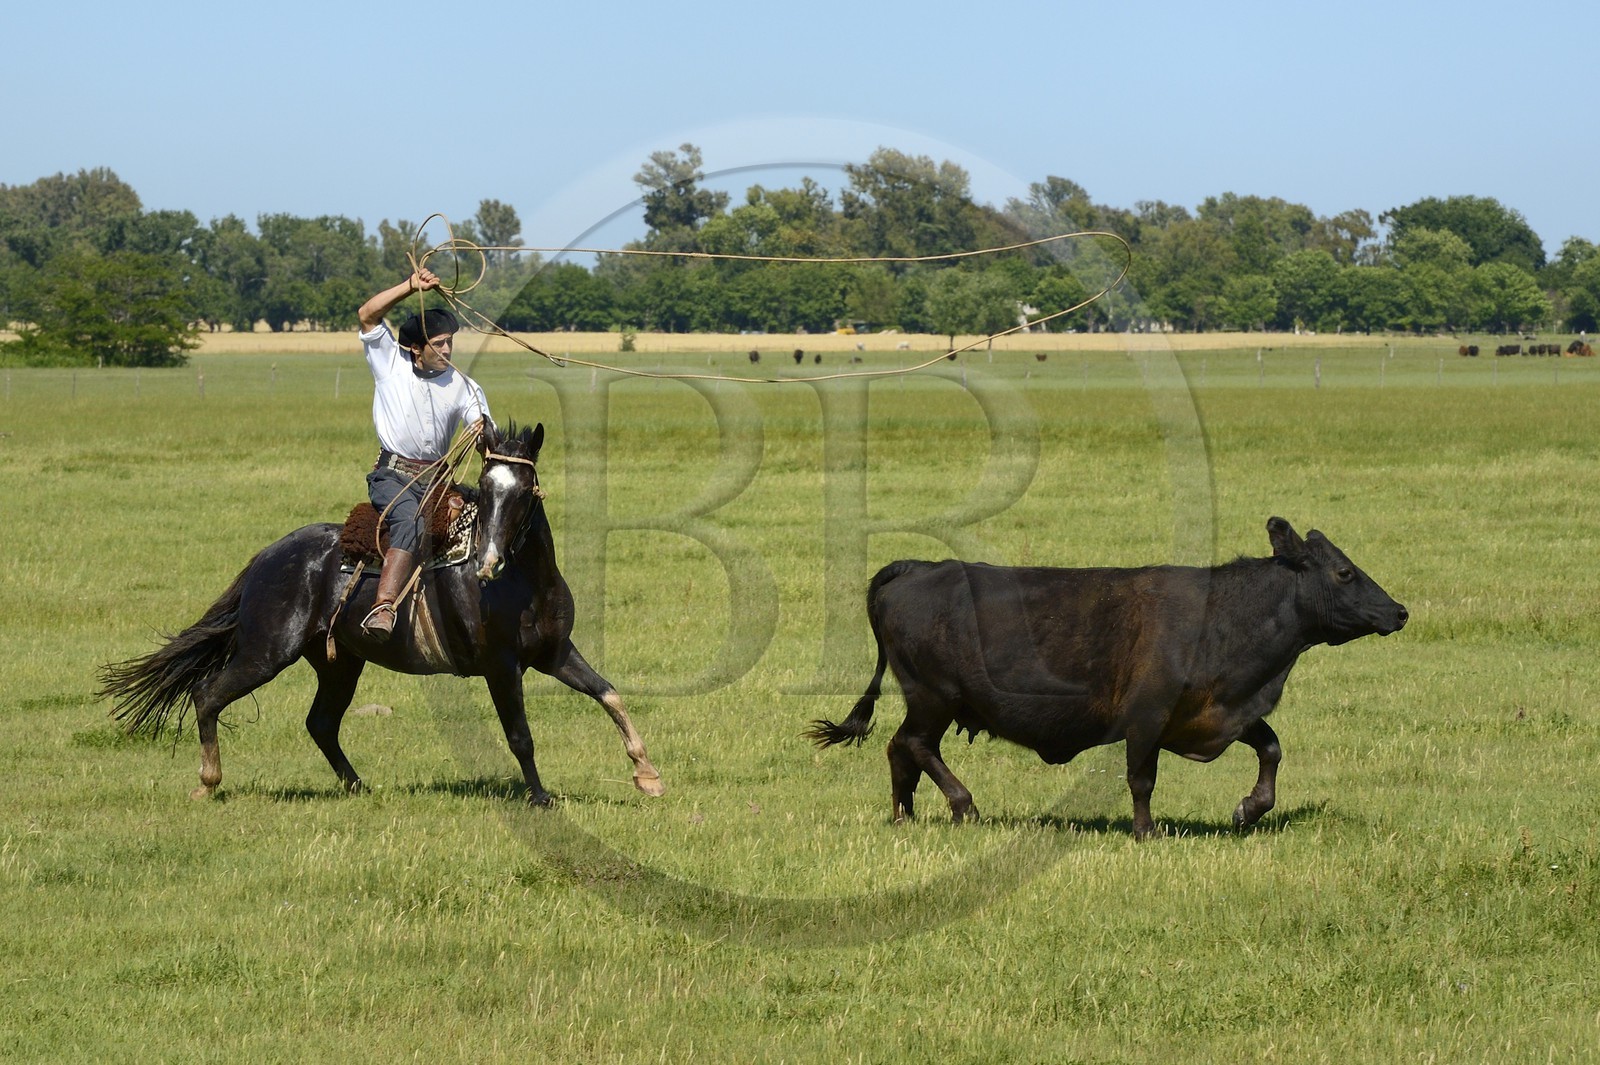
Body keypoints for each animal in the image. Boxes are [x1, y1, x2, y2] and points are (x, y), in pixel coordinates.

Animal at [806, 518, 1407, 839]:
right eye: (1344, 572)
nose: (1399, 611)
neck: (1224, 616)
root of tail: (917, 568)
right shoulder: (1147, 718)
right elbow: (1142, 779)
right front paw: (1146, 831)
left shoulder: (1221, 710)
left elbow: (1272, 748)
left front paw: (1249, 808)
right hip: (935, 698)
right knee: (914, 746)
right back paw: (963, 805)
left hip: (930, 702)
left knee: (899, 750)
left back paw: (904, 815)